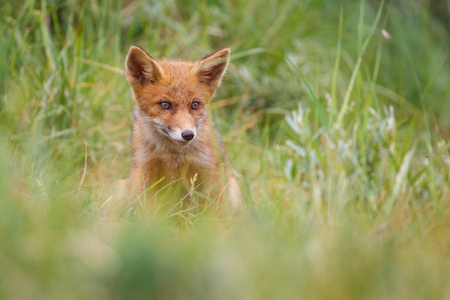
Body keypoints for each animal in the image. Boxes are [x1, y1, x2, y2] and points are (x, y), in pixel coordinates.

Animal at [122, 47, 243, 210]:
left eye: (195, 105)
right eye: (165, 105)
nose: (188, 134)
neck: (174, 154)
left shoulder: (210, 169)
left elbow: (217, 208)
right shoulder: (144, 166)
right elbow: (143, 206)